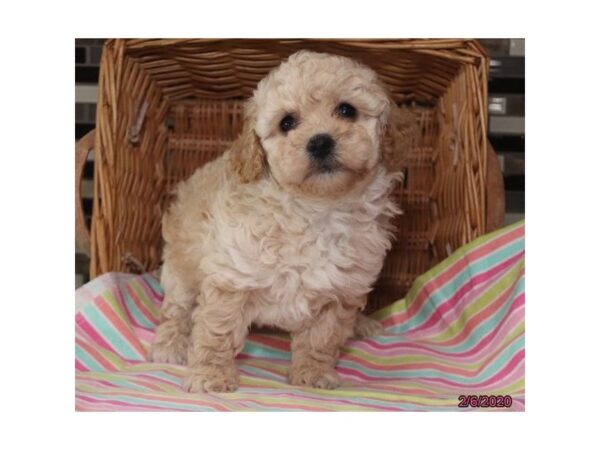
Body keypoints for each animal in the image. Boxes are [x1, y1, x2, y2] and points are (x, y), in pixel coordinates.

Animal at [149, 51, 404, 392]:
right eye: (287, 123)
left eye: (347, 110)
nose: (320, 142)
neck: (317, 211)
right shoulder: (232, 276)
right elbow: (216, 331)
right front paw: (209, 375)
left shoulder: (341, 291)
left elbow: (322, 337)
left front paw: (313, 373)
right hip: (181, 266)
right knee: (176, 310)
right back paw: (169, 344)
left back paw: (362, 324)